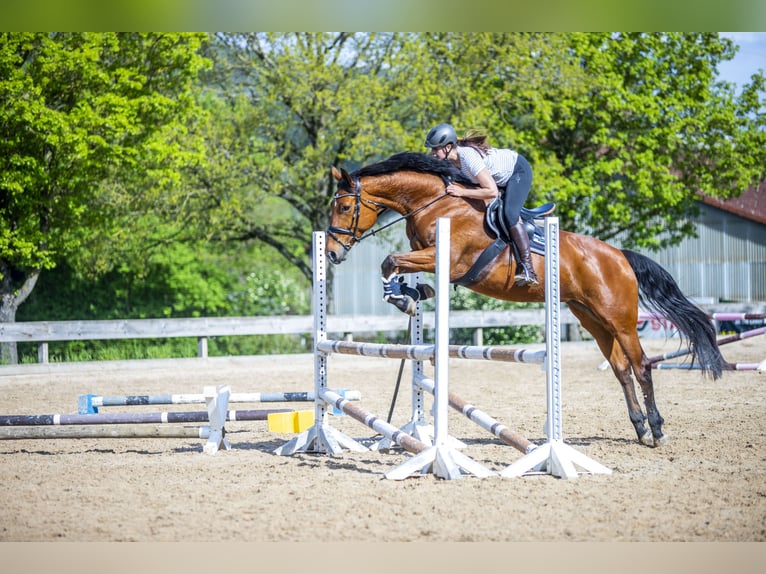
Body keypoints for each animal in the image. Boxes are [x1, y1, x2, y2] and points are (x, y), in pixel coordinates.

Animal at [325, 152, 726, 447]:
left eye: (343, 208)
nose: (331, 253)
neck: (436, 204)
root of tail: (620, 256)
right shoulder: (425, 254)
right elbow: (398, 266)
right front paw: (411, 296)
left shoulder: (447, 260)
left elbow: (390, 260)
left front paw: (403, 297)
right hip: (592, 318)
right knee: (622, 370)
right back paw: (640, 428)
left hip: (620, 319)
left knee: (641, 367)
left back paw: (656, 430)